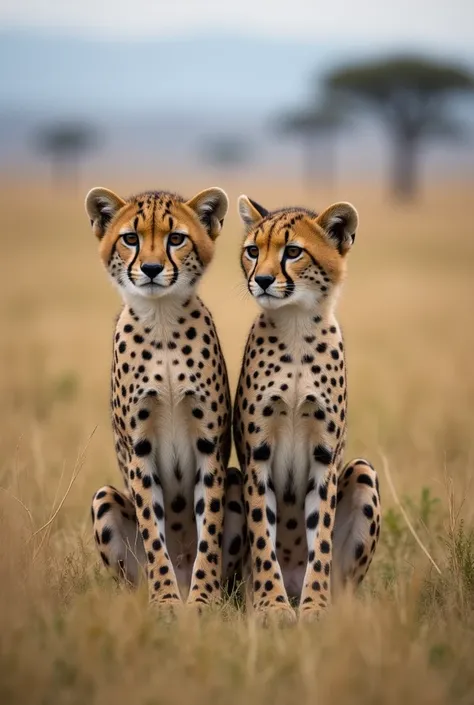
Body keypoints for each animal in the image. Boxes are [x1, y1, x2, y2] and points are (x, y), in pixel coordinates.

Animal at [86, 184, 244, 608]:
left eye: (176, 239)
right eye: (130, 239)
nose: (153, 269)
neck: (161, 320)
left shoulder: (209, 444)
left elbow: (209, 530)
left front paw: (202, 599)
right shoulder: (138, 448)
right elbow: (154, 534)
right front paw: (167, 602)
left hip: (237, 480)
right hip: (104, 498)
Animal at [233, 195, 382, 620]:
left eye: (293, 252)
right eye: (253, 251)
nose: (262, 280)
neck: (296, 325)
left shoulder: (325, 456)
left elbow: (322, 539)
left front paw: (315, 607)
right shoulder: (257, 455)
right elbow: (262, 534)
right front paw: (271, 605)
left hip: (362, 471)